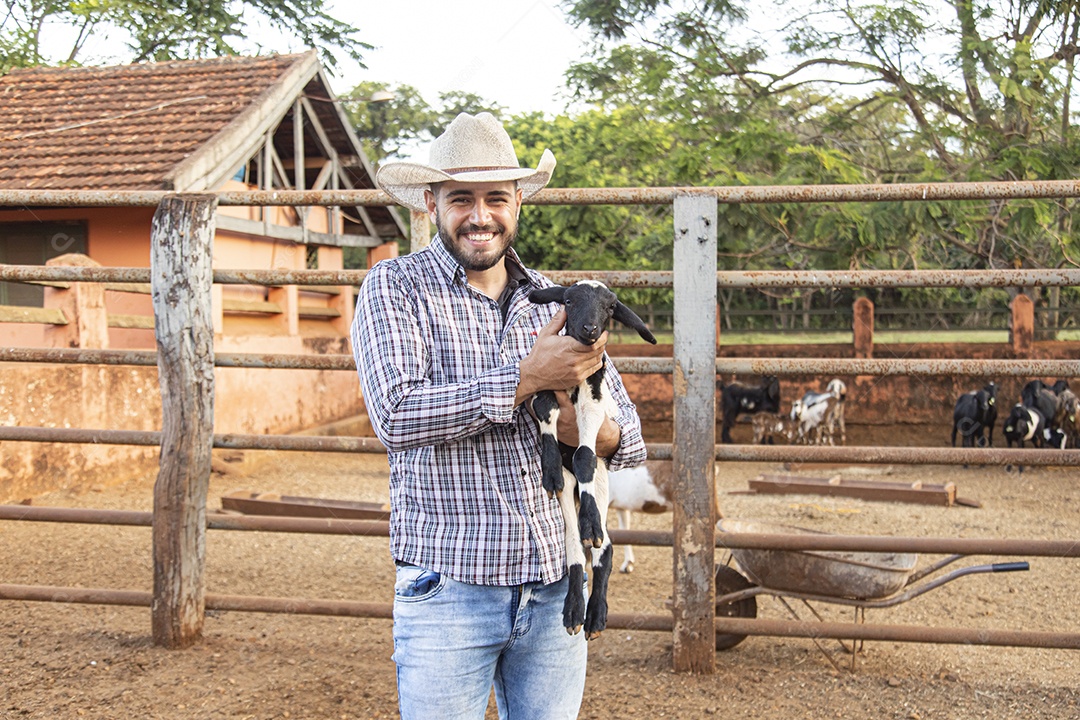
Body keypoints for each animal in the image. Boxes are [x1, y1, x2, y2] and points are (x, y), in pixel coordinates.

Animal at [527, 278, 652, 639]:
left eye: (610, 307)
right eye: (568, 300)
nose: (589, 329)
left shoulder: (593, 404)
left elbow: (584, 454)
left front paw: (591, 523)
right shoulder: (544, 384)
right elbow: (546, 410)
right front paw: (550, 470)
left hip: (602, 484)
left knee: (603, 548)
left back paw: (595, 614)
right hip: (569, 498)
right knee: (572, 550)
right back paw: (573, 611)